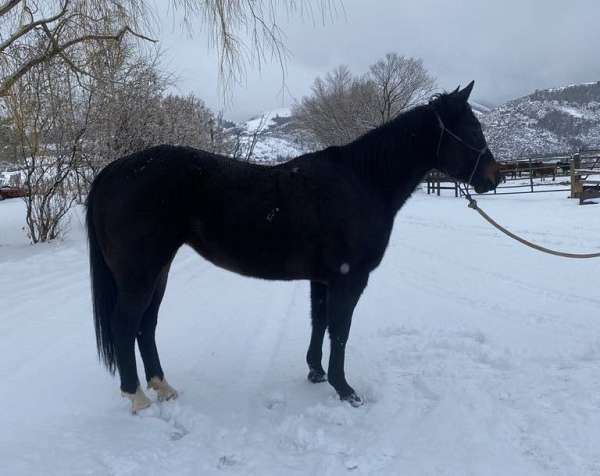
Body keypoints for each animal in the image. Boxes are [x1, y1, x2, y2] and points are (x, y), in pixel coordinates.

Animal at [85, 80, 496, 410]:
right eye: (473, 130)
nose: (494, 177)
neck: (363, 181)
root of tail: (113, 169)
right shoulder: (350, 279)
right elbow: (340, 330)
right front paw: (345, 390)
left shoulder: (323, 278)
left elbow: (319, 321)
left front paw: (315, 372)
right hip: (141, 273)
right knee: (126, 324)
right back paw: (137, 398)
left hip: (159, 270)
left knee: (146, 325)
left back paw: (162, 387)